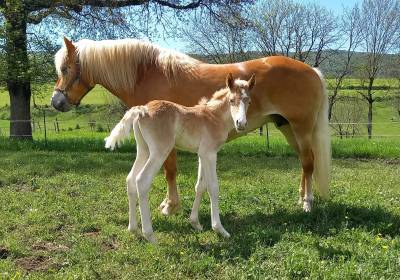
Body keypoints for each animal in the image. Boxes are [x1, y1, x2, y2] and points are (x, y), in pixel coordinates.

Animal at [51, 37, 330, 214]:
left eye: (65, 68)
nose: (56, 102)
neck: (147, 73)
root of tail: (313, 71)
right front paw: (170, 204)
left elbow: (170, 171)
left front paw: (170, 206)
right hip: (287, 127)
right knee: (304, 162)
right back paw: (301, 198)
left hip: (301, 127)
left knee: (308, 162)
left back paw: (307, 203)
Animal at [104, 75, 256, 243]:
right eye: (231, 100)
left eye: (248, 101)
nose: (241, 124)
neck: (213, 117)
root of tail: (142, 109)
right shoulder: (210, 153)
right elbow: (213, 187)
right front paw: (220, 229)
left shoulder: (202, 154)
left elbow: (200, 186)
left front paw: (195, 223)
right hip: (159, 151)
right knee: (142, 180)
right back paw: (150, 236)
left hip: (144, 150)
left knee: (130, 179)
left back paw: (133, 229)